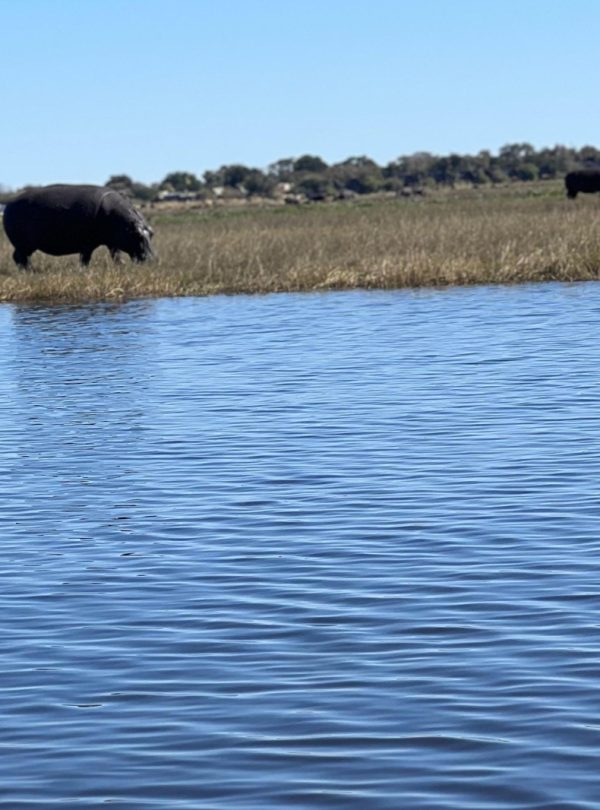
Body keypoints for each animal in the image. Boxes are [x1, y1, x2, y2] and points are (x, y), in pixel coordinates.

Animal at [2, 184, 154, 269]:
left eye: (152, 233)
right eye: (137, 235)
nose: (153, 259)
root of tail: (8, 205)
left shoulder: (113, 242)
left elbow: (116, 255)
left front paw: (121, 267)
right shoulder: (87, 244)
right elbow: (85, 259)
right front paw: (84, 271)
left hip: (25, 245)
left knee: (19, 258)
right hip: (24, 244)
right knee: (20, 257)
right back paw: (31, 271)